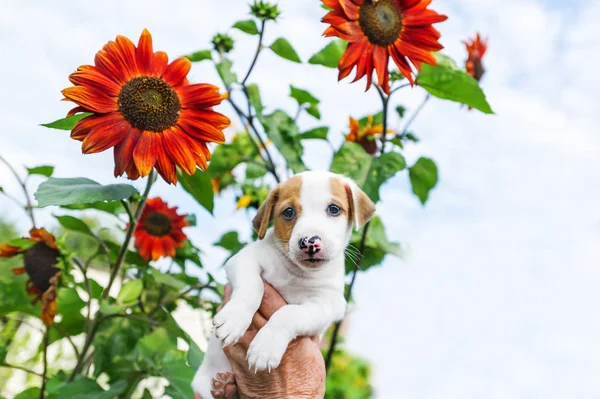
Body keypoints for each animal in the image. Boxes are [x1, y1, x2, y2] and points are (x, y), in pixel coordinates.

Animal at [192, 170, 372, 398]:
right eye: (288, 212)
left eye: (334, 209)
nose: (310, 242)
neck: (297, 273)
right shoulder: (243, 260)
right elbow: (252, 287)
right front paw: (234, 320)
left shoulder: (325, 306)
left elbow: (288, 313)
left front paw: (266, 346)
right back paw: (223, 387)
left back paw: (226, 387)